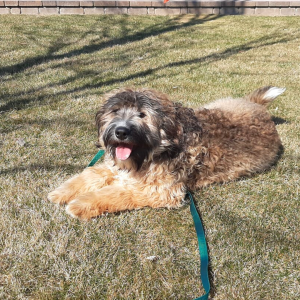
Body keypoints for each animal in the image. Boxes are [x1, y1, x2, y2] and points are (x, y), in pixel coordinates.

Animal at [48, 85, 284, 219]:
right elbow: (90, 174)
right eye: (115, 111)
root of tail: (258, 108)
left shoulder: (159, 190)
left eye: (142, 115)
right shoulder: (114, 168)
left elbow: (116, 193)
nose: (121, 131)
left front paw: (81, 203)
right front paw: (62, 192)